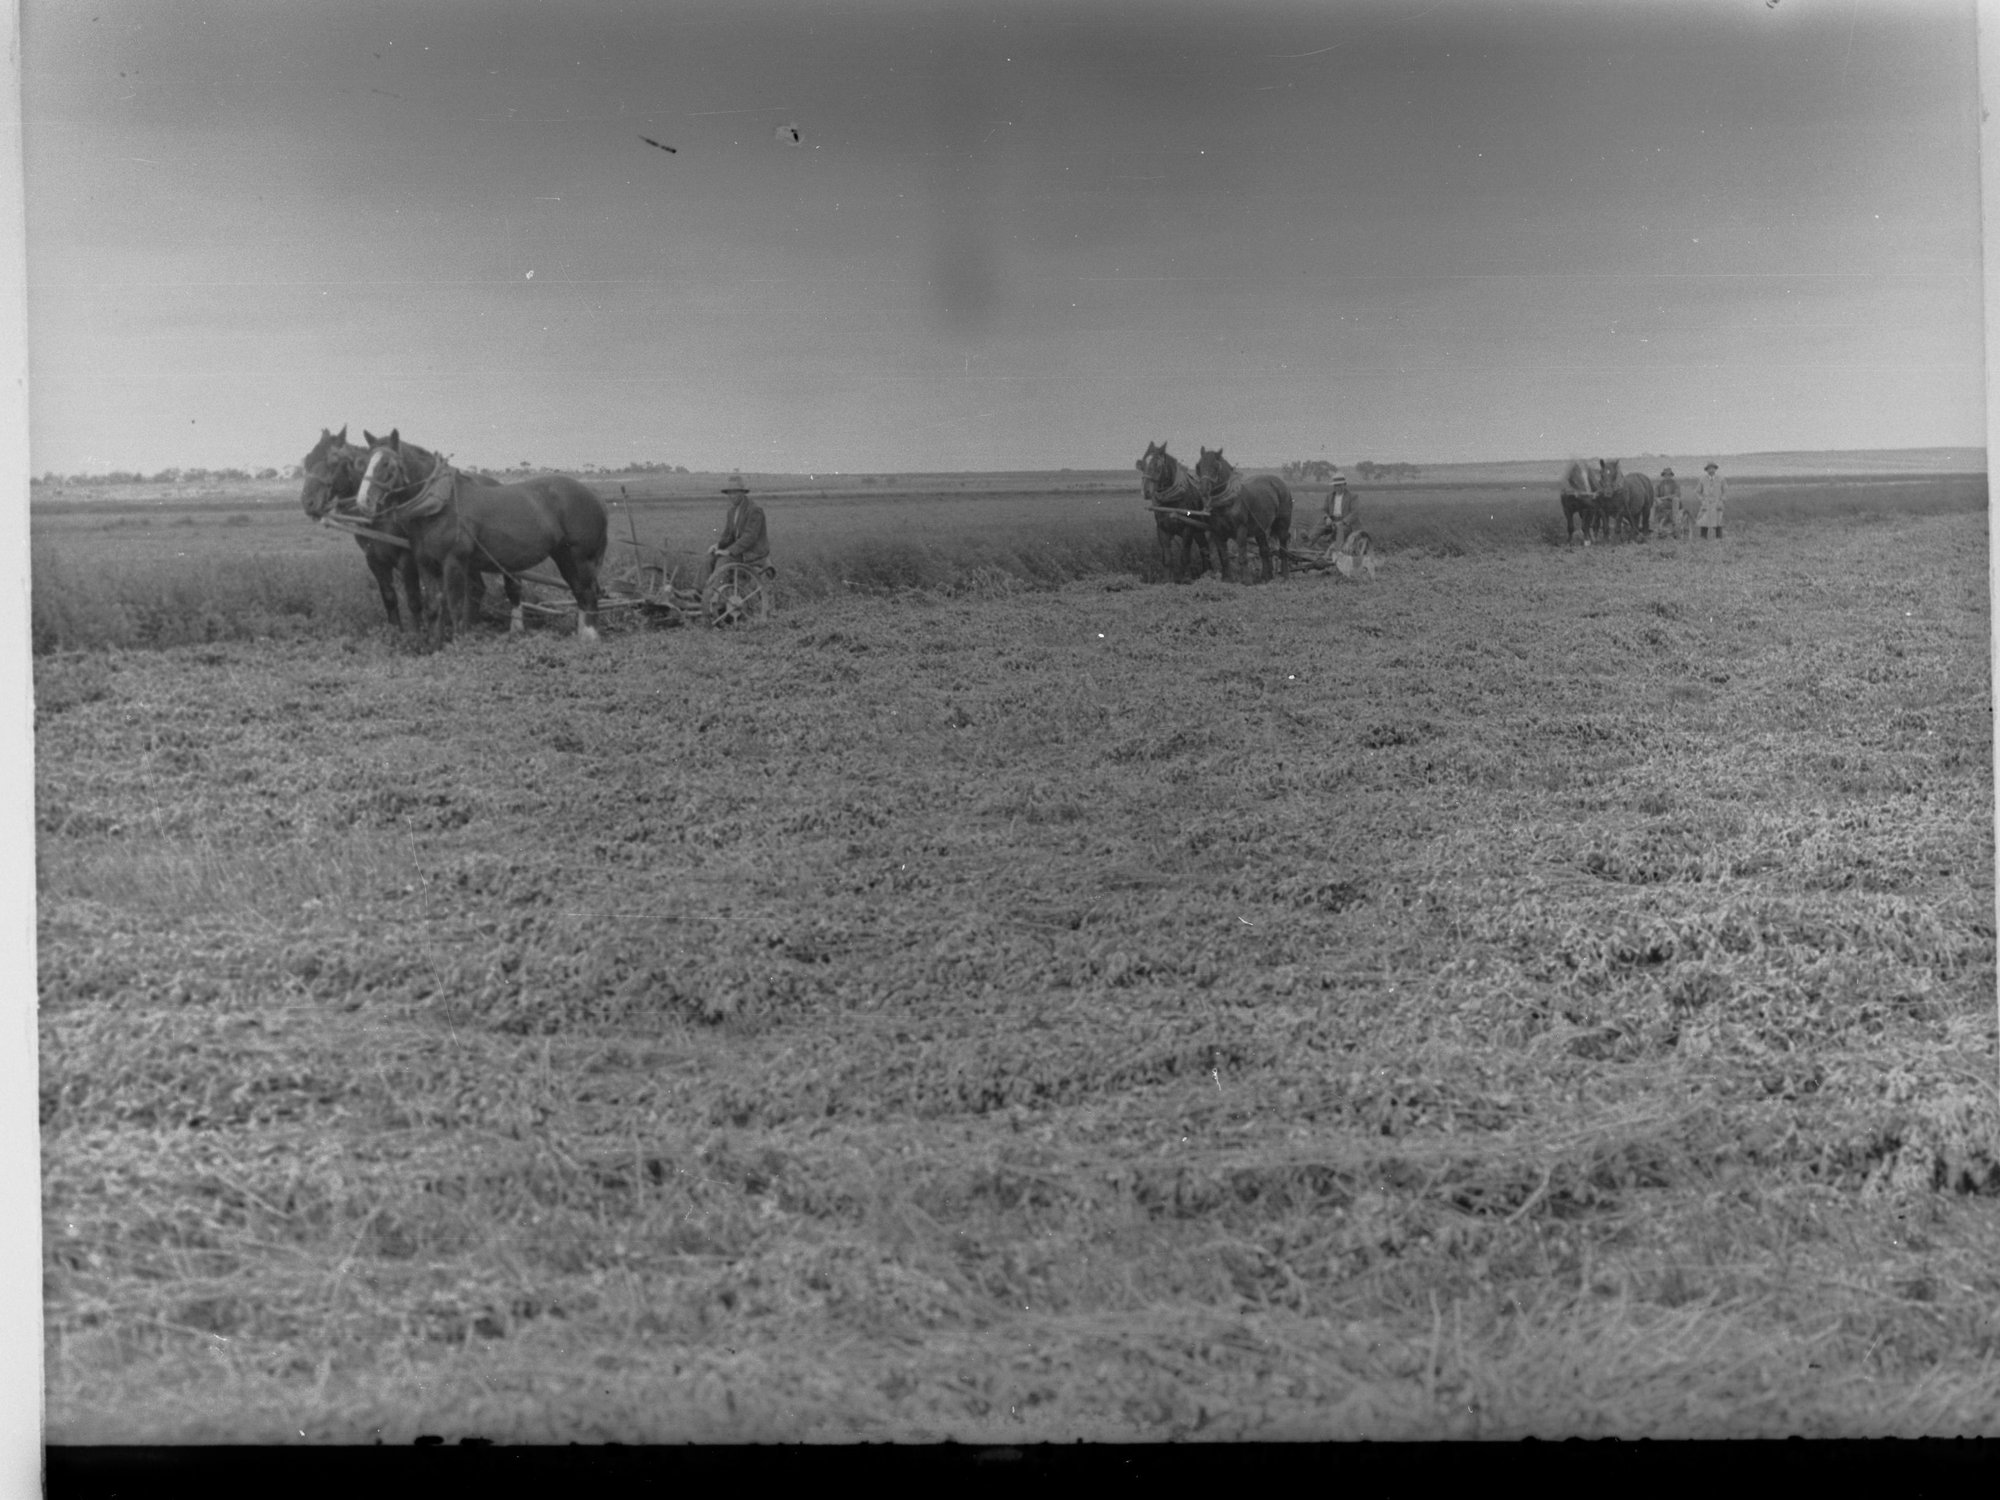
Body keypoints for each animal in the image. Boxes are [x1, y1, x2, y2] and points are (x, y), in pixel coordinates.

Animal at [352, 434, 609, 646]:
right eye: (364, 463)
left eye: (387, 464)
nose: (363, 502)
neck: (440, 503)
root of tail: (594, 497)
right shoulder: (425, 563)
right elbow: (434, 605)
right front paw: (433, 645)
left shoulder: (453, 562)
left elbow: (455, 605)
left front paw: (458, 643)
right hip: (563, 555)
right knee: (580, 593)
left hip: (579, 557)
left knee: (587, 594)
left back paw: (589, 638)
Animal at [1135, 440, 1214, 581]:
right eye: (1142, 465)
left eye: (1158, 465)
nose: (1146, 491)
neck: (1172, 502)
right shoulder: (1162, 529)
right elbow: (1167, 559)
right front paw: (1167, 581)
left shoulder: (1188, 529)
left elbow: (1184, 558)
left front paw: (1182, 580)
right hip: (1198, 530)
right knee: (1204, 548)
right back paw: (1206, 573)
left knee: (1204, 548)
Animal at [1193, 447, 1293, 583]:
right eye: (1198, 466)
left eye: (1216, 466)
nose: (1203, 490)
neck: (1227, 501)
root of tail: (1281, 484)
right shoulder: (1217, 532)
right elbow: (1224, 557)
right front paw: (1227, 579)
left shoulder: (1241, 530)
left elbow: (1242, 556)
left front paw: (1246, 580)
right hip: (1260, 529)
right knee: (1264, 550)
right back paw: (1265, 577)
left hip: (1283, 524)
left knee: (1283, 549)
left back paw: (1285, 577)